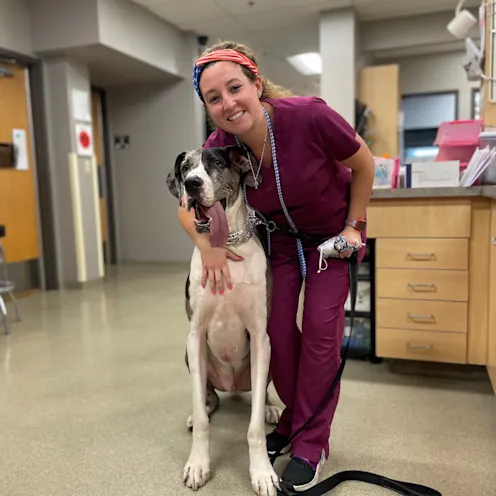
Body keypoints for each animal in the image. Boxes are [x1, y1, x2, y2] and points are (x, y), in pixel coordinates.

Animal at [167, 146, 280, 496]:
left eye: (216, 163)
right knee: (207, 395)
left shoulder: (260, 335)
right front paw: (197, 464)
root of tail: (232, 386)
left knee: (262, 390)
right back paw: (201, 407)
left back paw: (271, 406)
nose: (191, 184)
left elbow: (254, 428)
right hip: (191, 357)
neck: (226, 246)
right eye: (185, 167)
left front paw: (262, 472)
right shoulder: (195, 335)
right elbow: (205, 424)